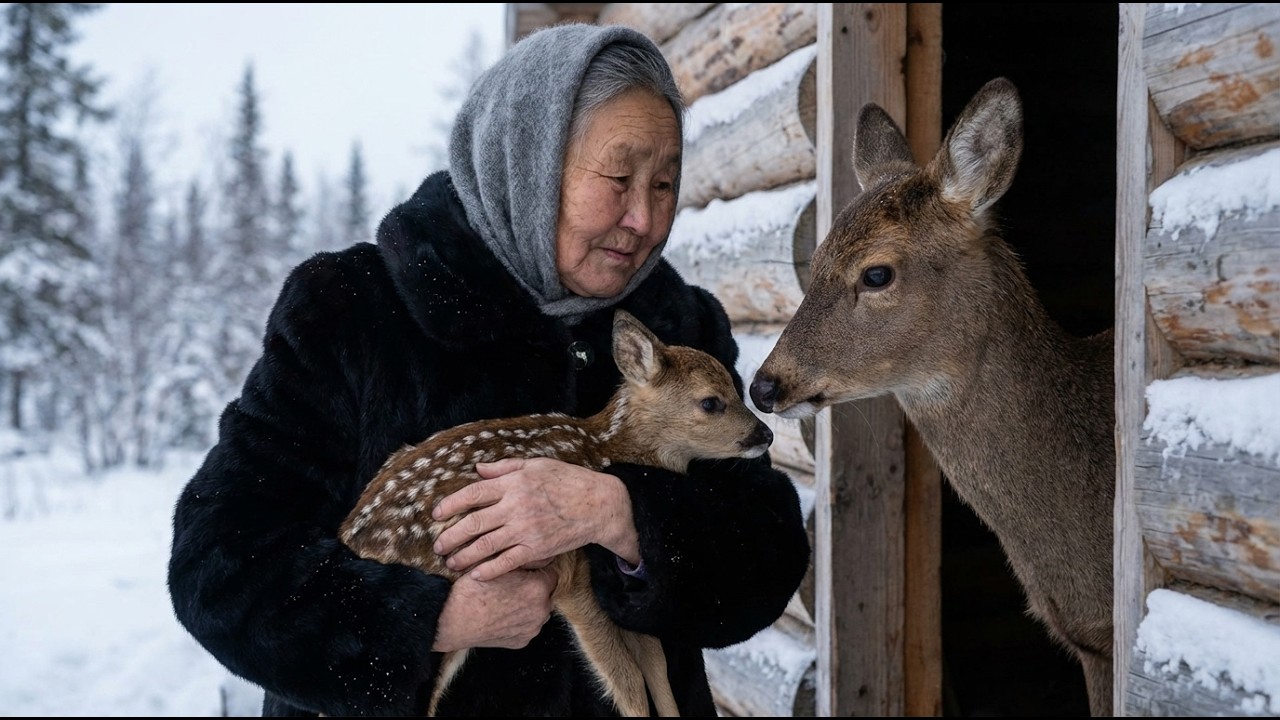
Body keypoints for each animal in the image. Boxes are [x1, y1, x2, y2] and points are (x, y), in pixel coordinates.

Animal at [339, 309, 775, 718]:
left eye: (736, 389)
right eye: (711, 402)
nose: (766, 434)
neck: (605, 448)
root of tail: (349, 535)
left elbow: (656, 665)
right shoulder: (573, 575)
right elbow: (629, 680)